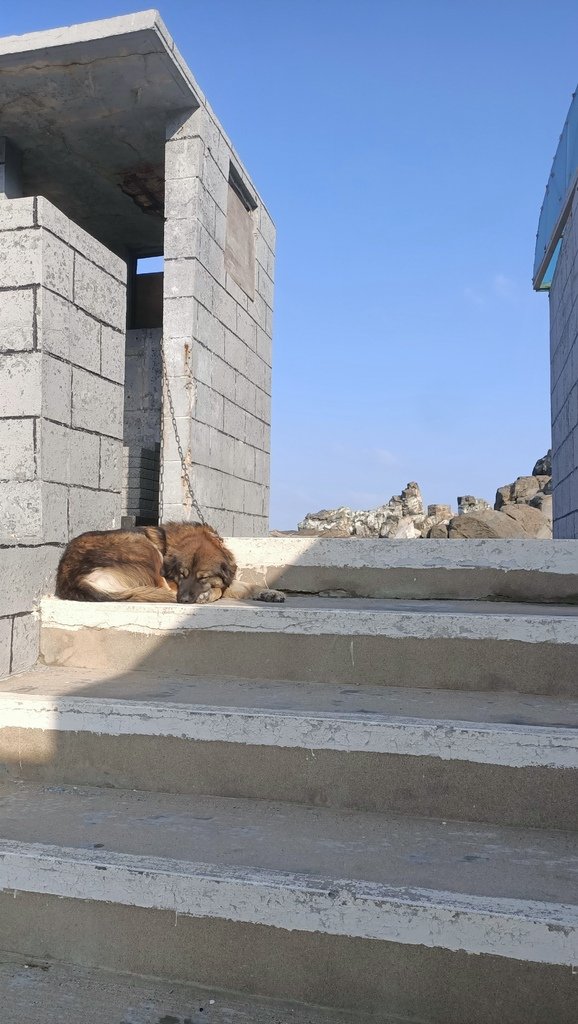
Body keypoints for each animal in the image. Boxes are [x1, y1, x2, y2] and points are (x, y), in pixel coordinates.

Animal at [55, 524, 284, 602]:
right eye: (182, 574)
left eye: (203, 577)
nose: (183, 600)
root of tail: (70, 579)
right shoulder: (173, 582)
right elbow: (223, 589)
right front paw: (210, 594)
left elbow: (244, 585)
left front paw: (270, 593)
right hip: (146, 548)